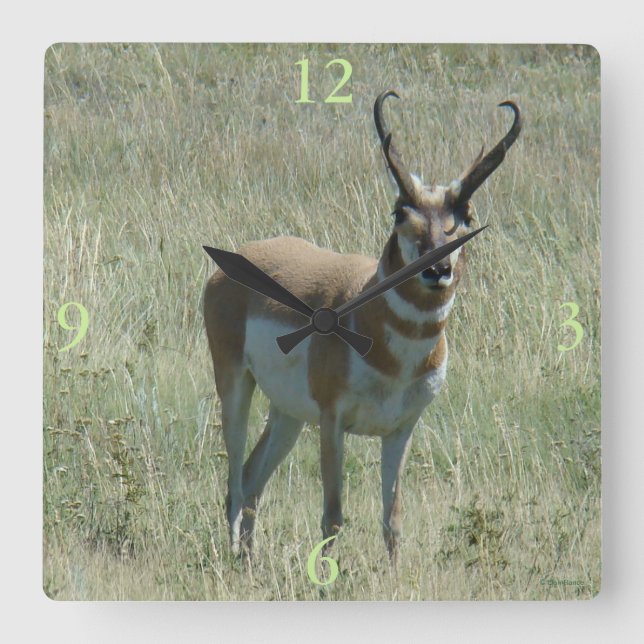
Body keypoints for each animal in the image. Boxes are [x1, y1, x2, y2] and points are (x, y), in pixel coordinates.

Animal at [203, 90, 521, 561]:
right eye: (400, 212)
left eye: (464, 213)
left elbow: (393, 520)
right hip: (236, 387)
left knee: (252, 477)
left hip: (288, 414)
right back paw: (231, 557)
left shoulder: (401, 430)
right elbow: (333, 516)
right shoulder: (333, 421)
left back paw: (248, 561)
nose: (437, 269)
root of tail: (238, 258)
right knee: (235, 484)